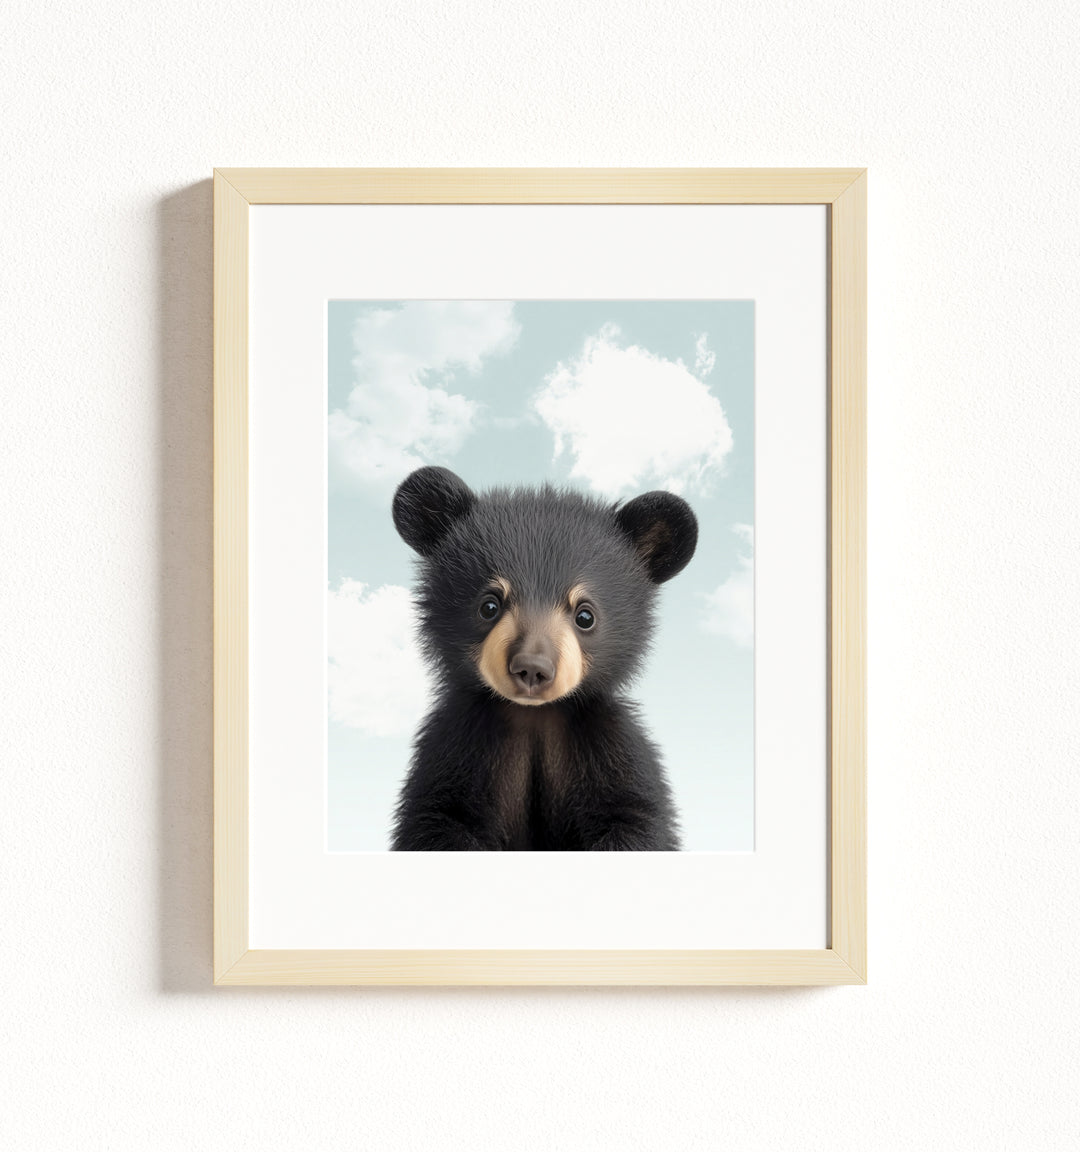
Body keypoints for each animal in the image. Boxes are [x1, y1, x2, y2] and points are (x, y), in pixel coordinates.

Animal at [389, 465, 698, 851]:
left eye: (585, 615)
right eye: (489, 606)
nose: (532, 669)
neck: (534, 716)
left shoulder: (607, 743)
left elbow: (633, 815)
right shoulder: (456, 745)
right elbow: (438, 816)